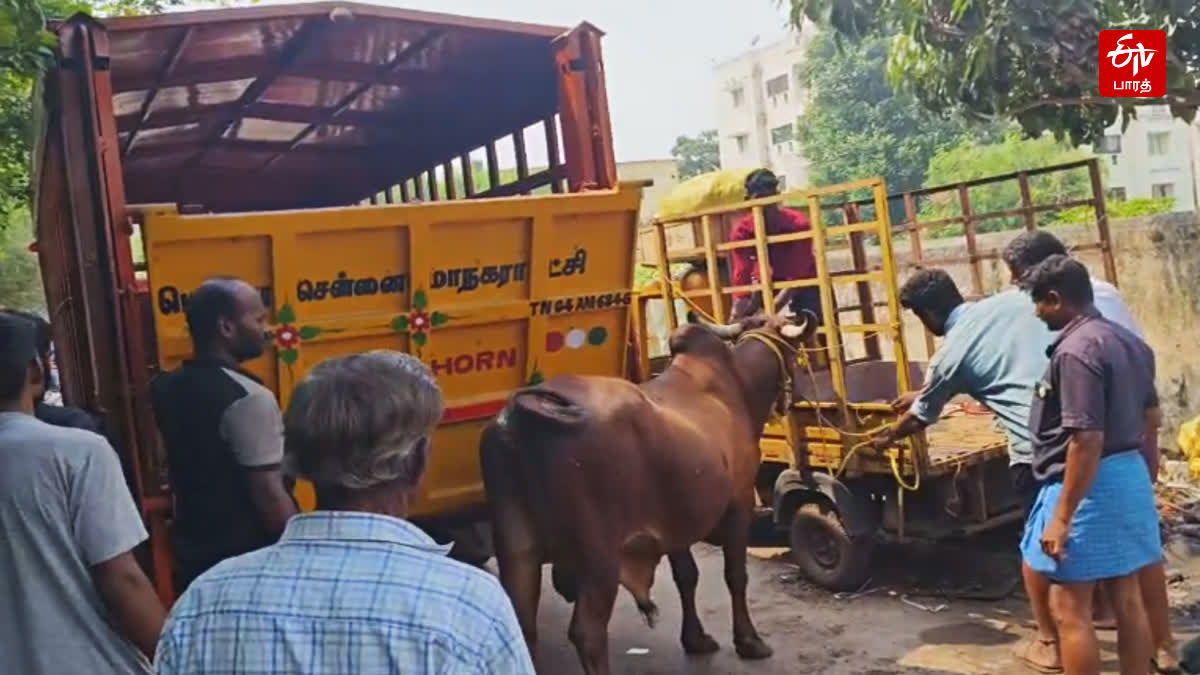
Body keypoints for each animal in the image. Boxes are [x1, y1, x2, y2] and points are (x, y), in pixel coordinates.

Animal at [475, 312, 806, 667]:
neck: (736, 385)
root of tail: (521, 414)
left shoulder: (677, 519)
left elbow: (686, 576)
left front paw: (695, 638)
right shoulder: (739, 502)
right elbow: (735, 576)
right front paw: (749, 641)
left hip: (517, 548)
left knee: (521, 623)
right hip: (599, 556)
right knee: (587, 632)